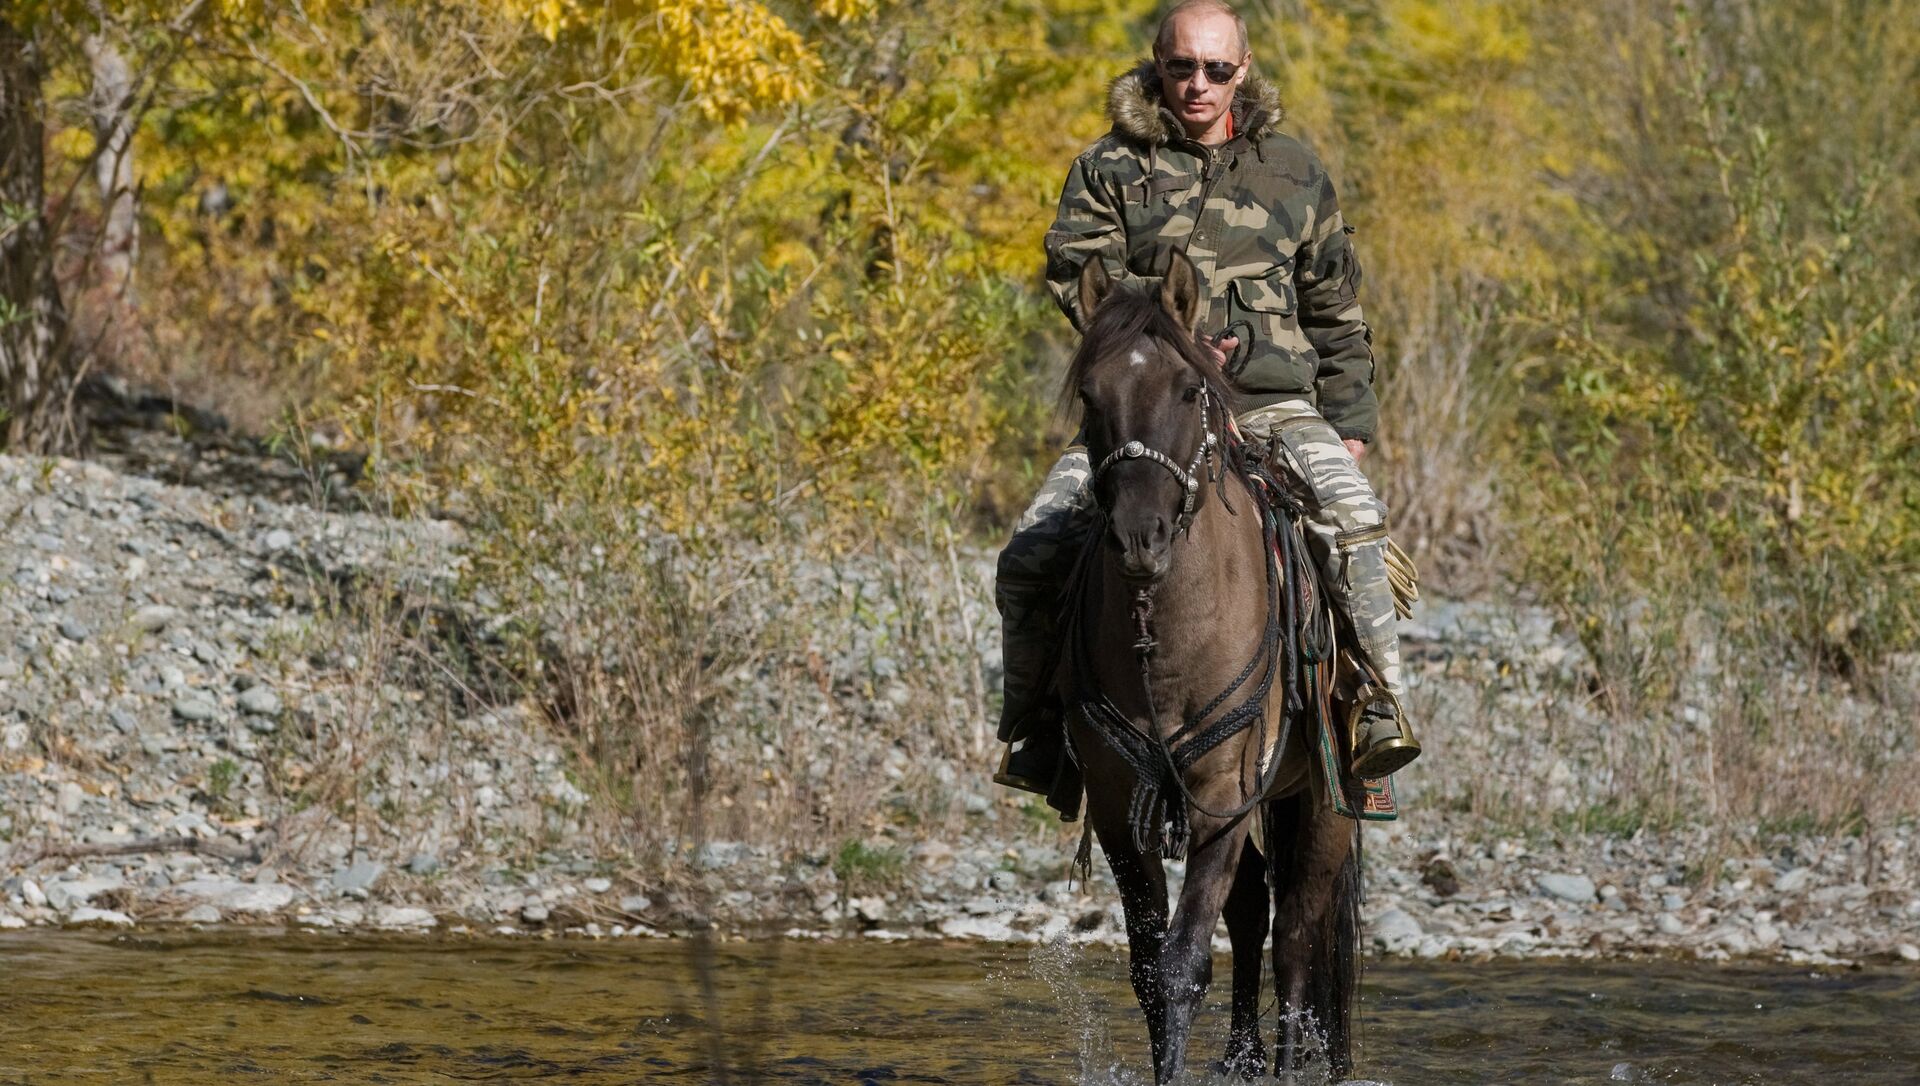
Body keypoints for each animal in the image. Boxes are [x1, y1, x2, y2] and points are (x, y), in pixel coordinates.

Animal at [1059, 250, 1364, 1083]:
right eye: (1091, 394)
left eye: (1190, 389)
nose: (1141, 536)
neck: (1164, 639)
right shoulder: (1118, 805)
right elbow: (1149, 967)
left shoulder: (1224, 791)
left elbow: (1186, 960)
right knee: (1256, 912)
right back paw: (1242, 1058)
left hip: (1322, 801)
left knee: (1297, 930)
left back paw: (1288, 1063)